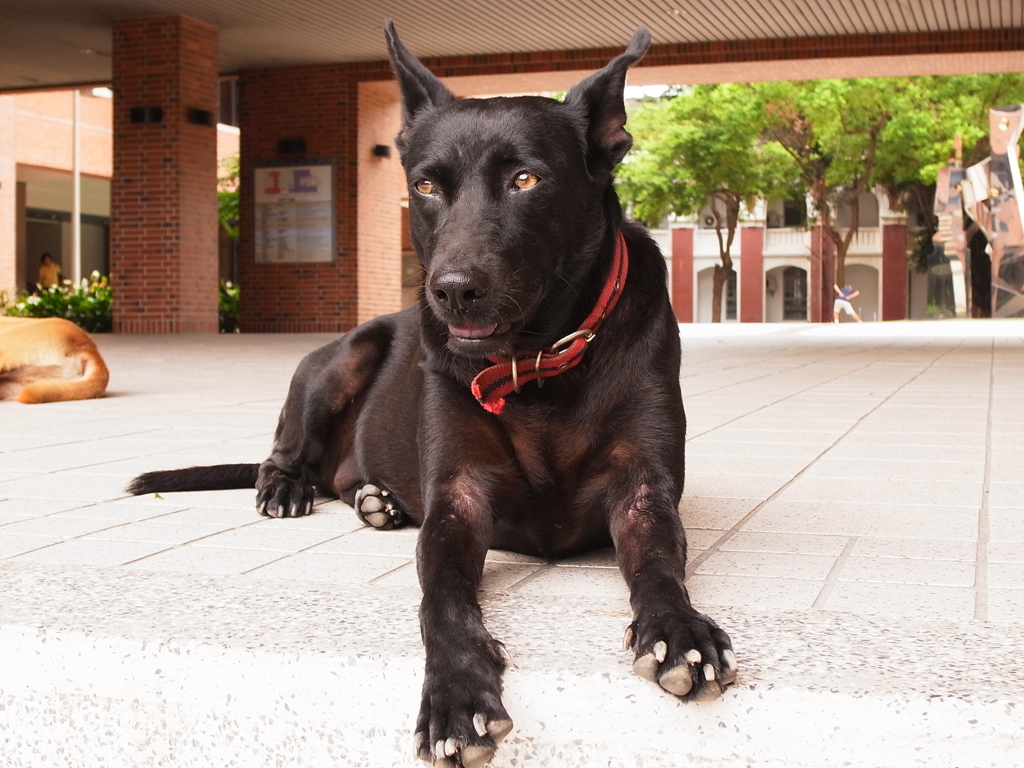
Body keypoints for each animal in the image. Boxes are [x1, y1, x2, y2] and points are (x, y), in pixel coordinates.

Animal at [130, 24, 737, 768]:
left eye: (526, 178)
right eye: (424, 185)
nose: (452, 289)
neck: (536, 362)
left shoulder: (642, 490)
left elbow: (658, 564)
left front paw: (678, 630)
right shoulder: (458, 500)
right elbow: (440, 599)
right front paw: (457, 691)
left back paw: (377, 499)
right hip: (343, 356)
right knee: (285, 451)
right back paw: (289, 488)